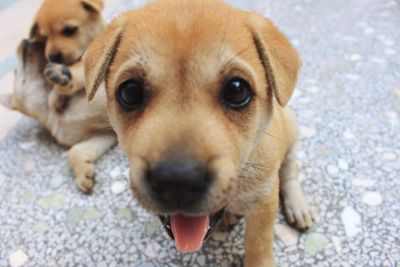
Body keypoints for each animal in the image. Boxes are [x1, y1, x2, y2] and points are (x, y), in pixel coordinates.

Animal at [0, 39, 115, 194]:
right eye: (15, 72)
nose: (26, 40)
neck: (53, 114)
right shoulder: (104, 135)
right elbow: (74, 151)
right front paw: (83, 173)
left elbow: (79, 73)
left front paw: (61, 81)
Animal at [84, 0, 316, 266]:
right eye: (130, 91)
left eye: (237, 90)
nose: (177, 183)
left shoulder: (263, 201)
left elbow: (258, 243)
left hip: (292, 133)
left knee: (290, 170)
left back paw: (298, 205)